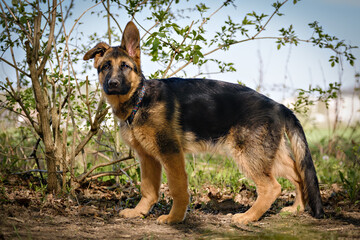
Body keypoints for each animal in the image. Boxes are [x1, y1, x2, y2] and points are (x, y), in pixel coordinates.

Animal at [83, 21, 324, 224]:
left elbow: (177, 188)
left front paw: (174, 219)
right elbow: (148, 189)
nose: (113, 84)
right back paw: (296, 208)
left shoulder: (171, 153)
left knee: (271, 187)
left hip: (248, 154)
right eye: (105, 67)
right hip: (268, 155)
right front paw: (139, 212)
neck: (140, 99)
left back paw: (247, 217)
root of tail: (279, 105)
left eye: (125, 66)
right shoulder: (148, 157)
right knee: (298, 173)